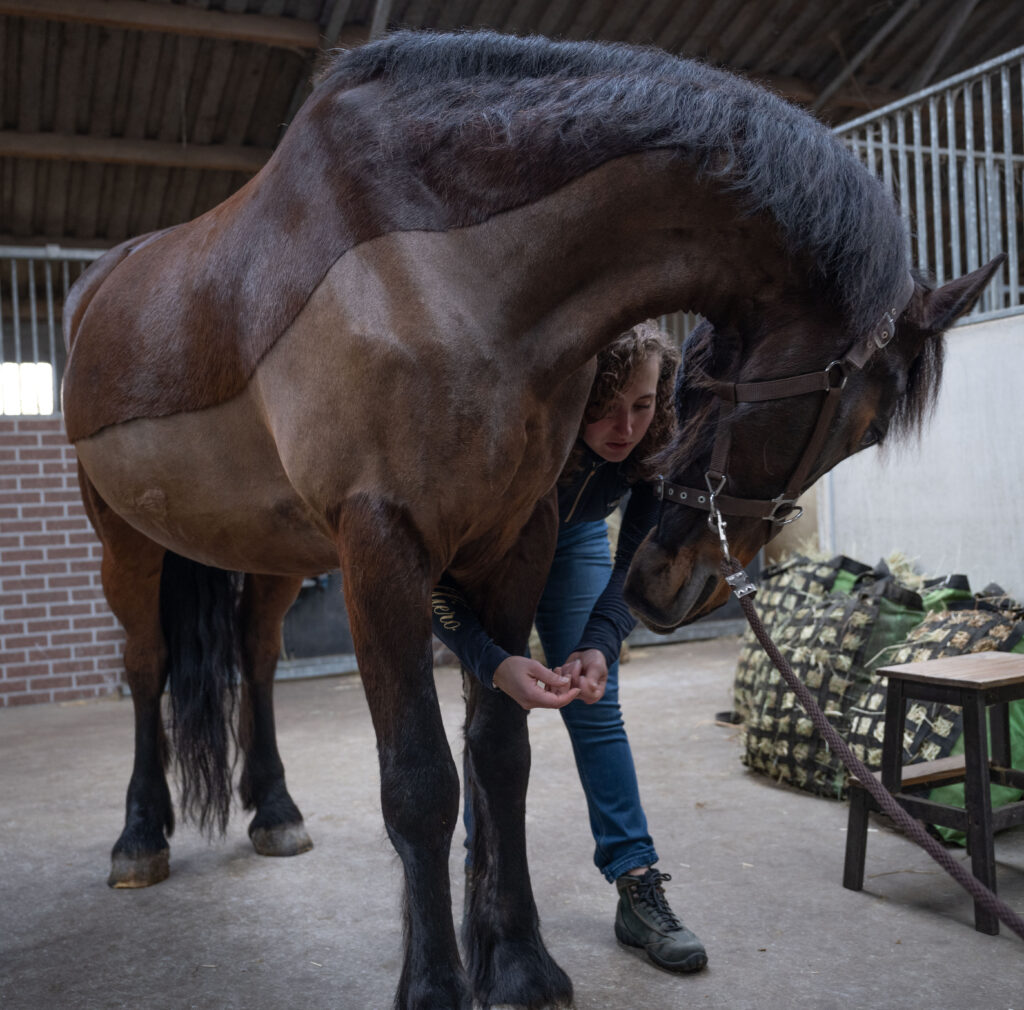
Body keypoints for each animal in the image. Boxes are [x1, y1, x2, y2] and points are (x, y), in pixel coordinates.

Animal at [61, 30, 1001, 1010]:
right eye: (863, 425)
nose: (683, 587)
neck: (449, 269)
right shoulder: (380, 548)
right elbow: (420, 782)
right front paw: (436, 985)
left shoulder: (515, 542)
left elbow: (500, 755)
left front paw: (515, 962)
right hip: (124, 543)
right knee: (145, 666)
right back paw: (141, 837)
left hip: (273, 555)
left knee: (256, 656)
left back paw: (275, 810)